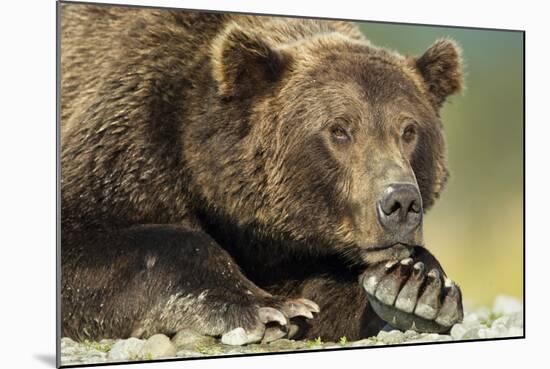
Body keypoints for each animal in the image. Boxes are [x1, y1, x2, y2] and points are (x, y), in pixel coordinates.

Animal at [60, 2, 466, 344]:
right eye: (339, 129)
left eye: (409, 130)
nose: (400, 203)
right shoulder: (127, 148)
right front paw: (269, 308)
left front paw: (417, 286)